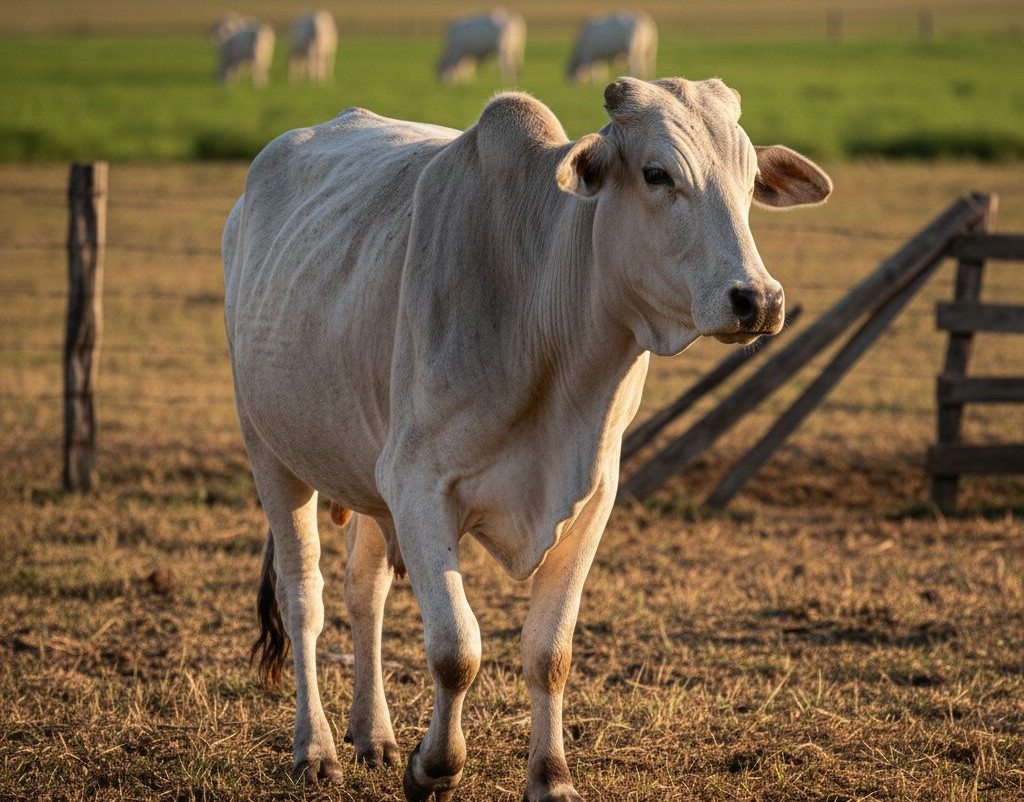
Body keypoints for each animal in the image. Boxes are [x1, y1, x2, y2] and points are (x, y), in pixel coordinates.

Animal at [223, 76, 831, 800]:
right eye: (657, 174)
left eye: (748, 182)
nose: (758, 300)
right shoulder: (418, 486)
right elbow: (456, 649)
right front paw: (433, 766)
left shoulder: (591, 497)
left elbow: (550, 652)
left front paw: (551, 776)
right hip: (270, 453)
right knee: (303, 599)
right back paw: (315, 748)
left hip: (364, 477)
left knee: (363, 594)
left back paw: (373, 734)